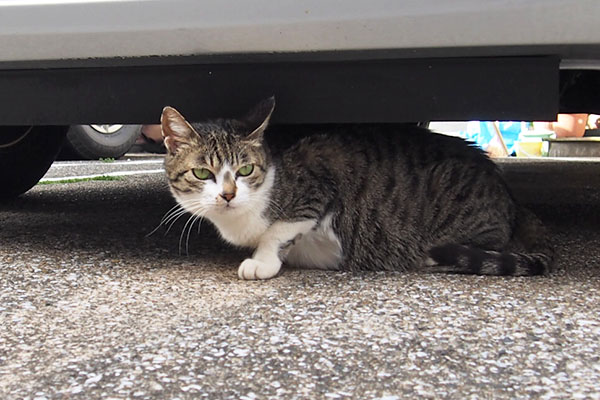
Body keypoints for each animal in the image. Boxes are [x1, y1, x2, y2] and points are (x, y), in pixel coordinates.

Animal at [159, 97, 552, 280]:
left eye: (245, 170)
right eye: (202, 172)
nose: (228, 194)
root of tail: (511, 198)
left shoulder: (318, 177)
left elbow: (278, 230)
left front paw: (262, 261)